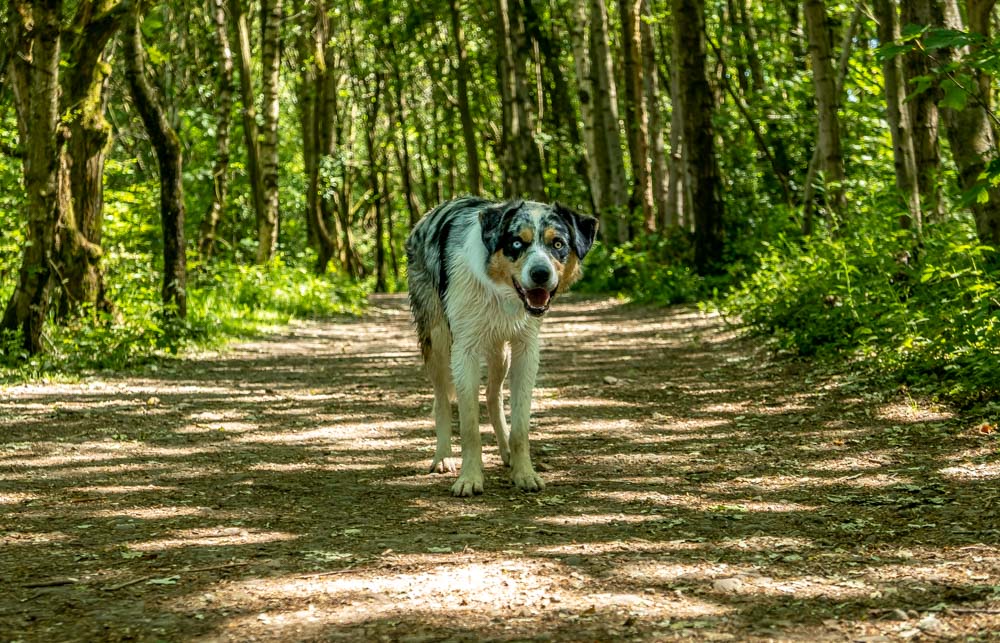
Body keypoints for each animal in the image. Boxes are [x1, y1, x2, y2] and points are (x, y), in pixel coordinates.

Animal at [404, 196, 592, 498]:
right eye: (516, 243)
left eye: (558, 244)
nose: (540, 273)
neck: (502, 292)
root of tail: (429, 214)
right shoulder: (464, 351)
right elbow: (469, 426)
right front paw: (469, 479)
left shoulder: (526, 349)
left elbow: (520, 425)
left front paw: (524, 472)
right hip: (437, 338)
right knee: (442, 398)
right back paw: (443, 457)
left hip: (500, 350)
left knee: (493, 395)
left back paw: (506, 452)